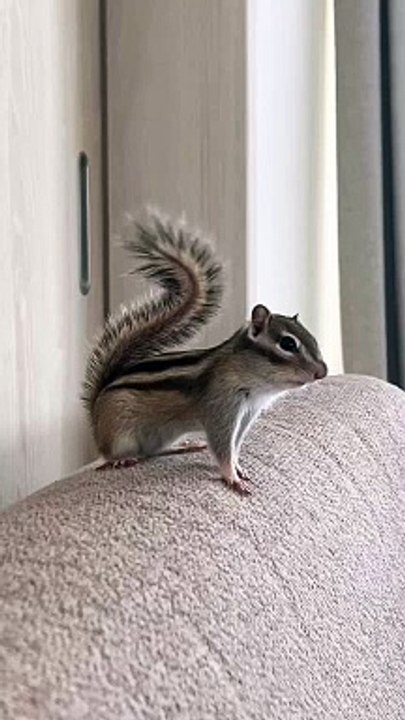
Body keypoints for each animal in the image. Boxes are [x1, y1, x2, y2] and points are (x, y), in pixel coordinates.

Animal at [83, 212, 327, 495]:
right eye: (288, 344)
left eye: (313, 338)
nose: (322, 372)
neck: (254, 382)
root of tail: (94, 416)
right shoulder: (220, 408)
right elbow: (222, 446)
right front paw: (232, 477)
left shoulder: (246, 415)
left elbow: (235, 446)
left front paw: (238, 468)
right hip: (120, 432)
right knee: (113, 454)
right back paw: (120, 459)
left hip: (162, 435)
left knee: (153, 452)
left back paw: (183, 447)